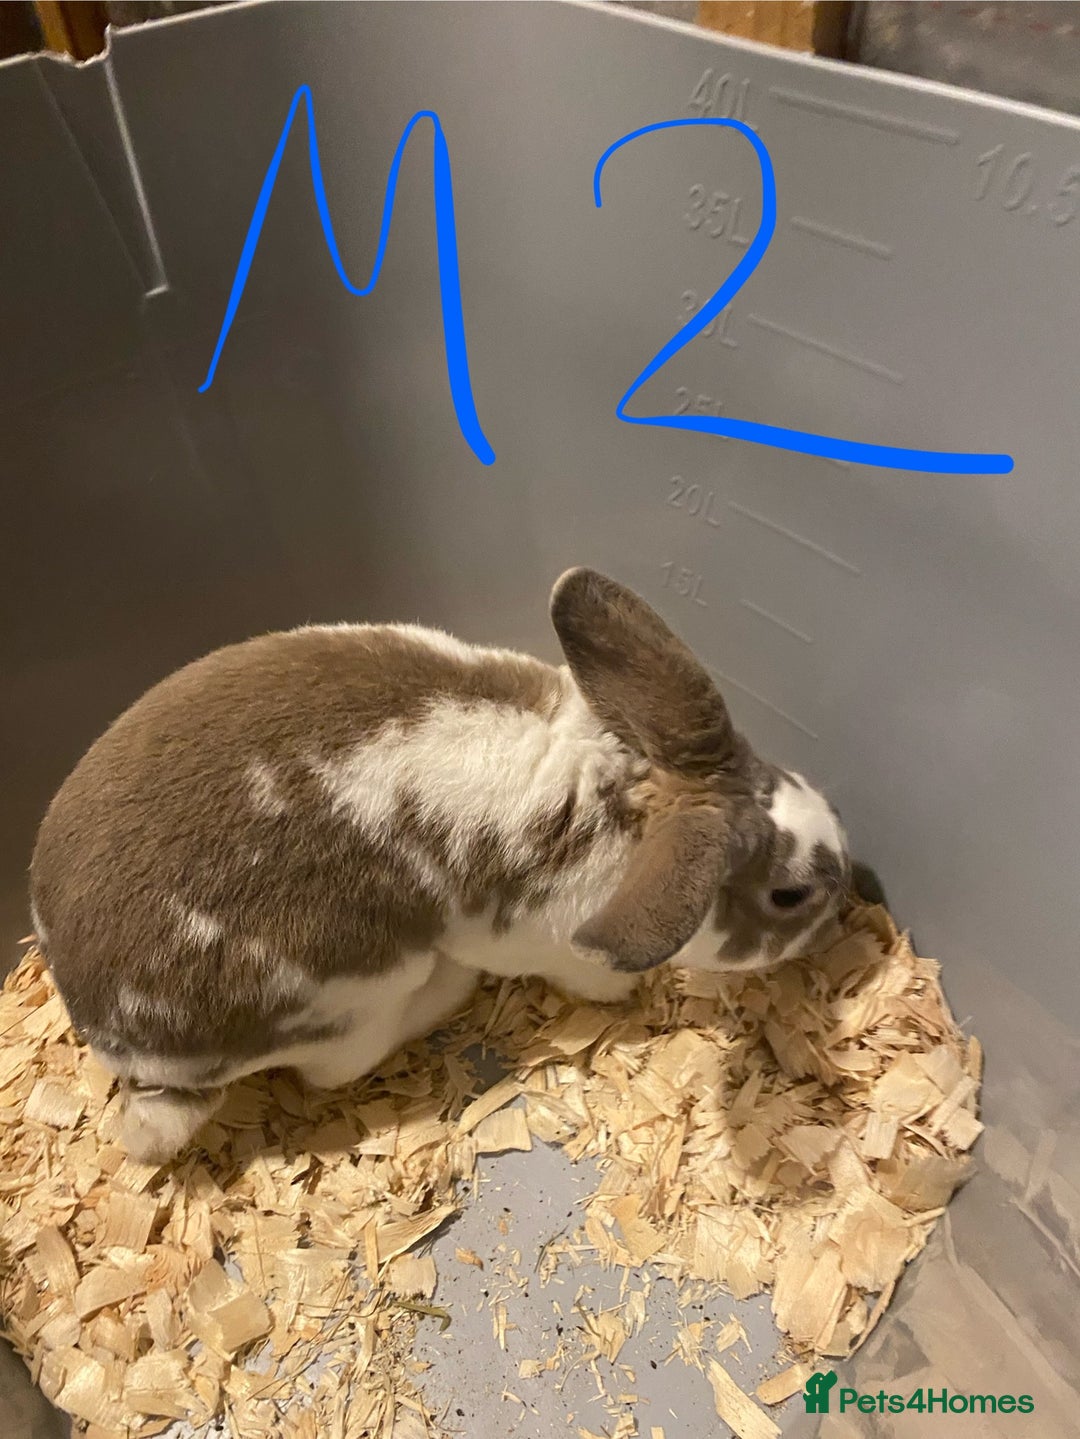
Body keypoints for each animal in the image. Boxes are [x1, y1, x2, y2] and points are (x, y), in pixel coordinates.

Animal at [29, 568, 850, 1164]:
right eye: (789, 894)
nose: (846, 897)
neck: (637, 801)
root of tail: (113, 1040)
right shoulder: (549, 942)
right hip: (354, 996)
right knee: (338, 1065)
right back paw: (448, 988)